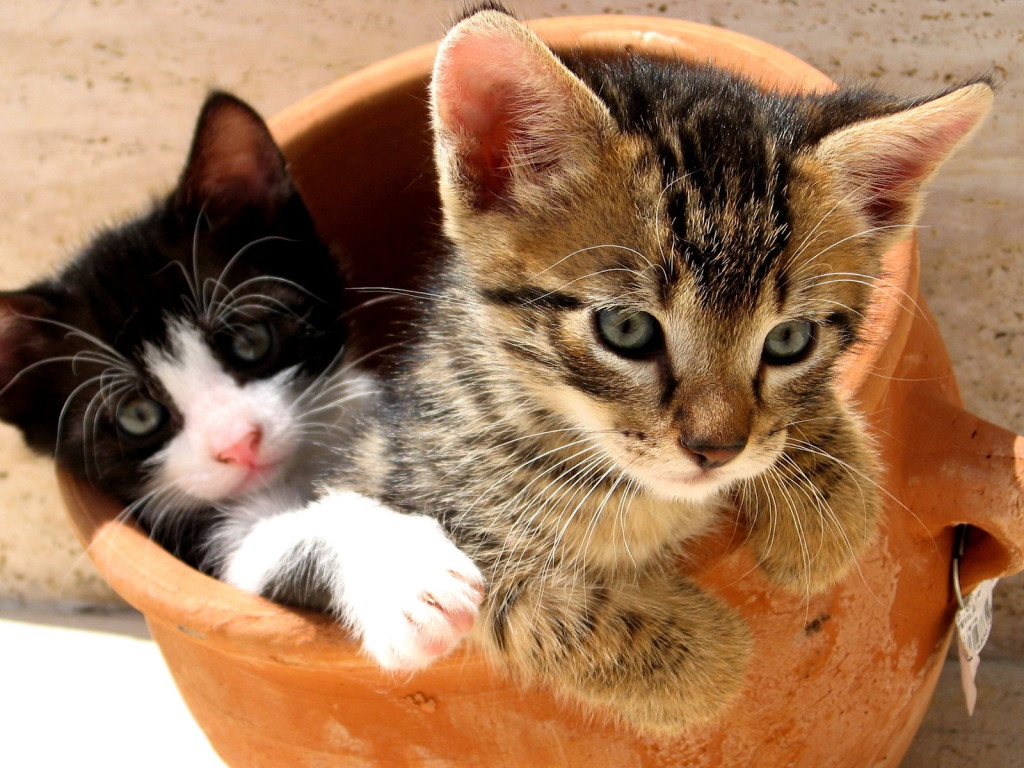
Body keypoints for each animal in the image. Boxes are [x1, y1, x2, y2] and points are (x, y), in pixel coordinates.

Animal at [0, 91, 481, 671]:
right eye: (138, 415)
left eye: (250, 340)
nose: (238, 442)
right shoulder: (207, 545)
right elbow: (283, 540)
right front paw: (406, 577)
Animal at [335, 7, 991, 733]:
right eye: (626, 329)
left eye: (789, 340)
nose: (715, 449)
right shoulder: (420, 484)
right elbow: (527, 605)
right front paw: (710, 659)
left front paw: (830, 506)